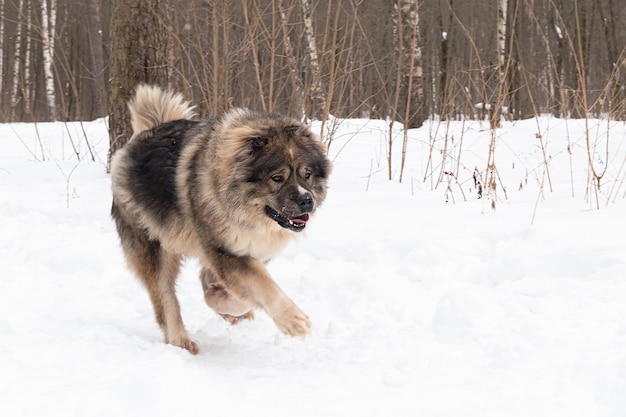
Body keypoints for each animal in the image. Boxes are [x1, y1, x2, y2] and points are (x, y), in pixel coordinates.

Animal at [110, 85, 332, 354]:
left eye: (306, 174)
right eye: (277, 178)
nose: (306, 200)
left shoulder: (246, 253)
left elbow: (242, 290)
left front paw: (223, 302)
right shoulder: (225, 252)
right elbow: (262, 284)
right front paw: (292, 319)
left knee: (202, 279)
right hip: (153, 249)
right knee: (166, 300)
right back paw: (181, 341)